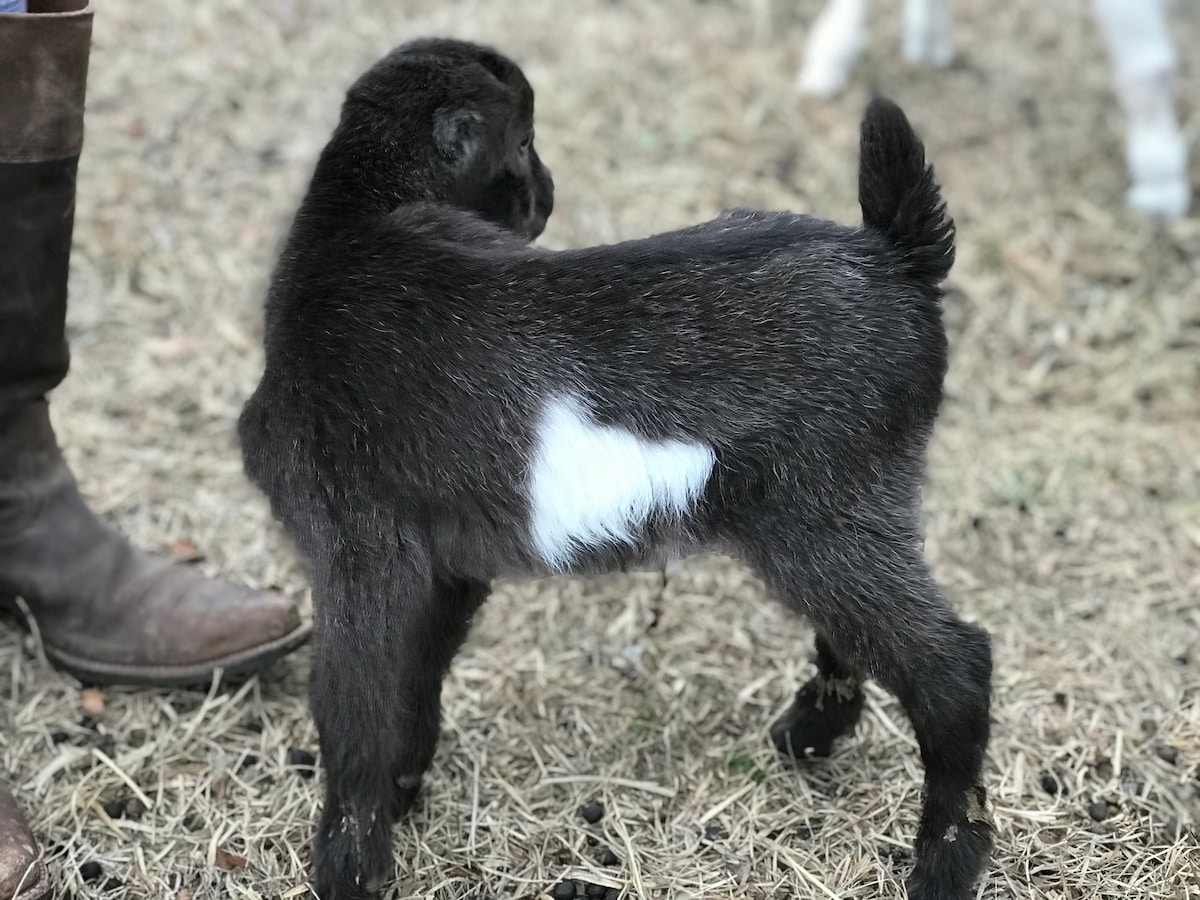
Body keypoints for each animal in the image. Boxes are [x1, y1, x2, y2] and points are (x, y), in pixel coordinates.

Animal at [239, 37, 993, 900]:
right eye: (524, 143)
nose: (547, 193)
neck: (351, 224)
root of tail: (893, 255)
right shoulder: (447, 561)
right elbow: (413, 675)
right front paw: (403, 791)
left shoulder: (355, 545)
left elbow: (353, 705)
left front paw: (350, 867)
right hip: (843, 511)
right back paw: (811, 733)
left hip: (825, 517)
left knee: (953, 667)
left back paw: (942, 866)